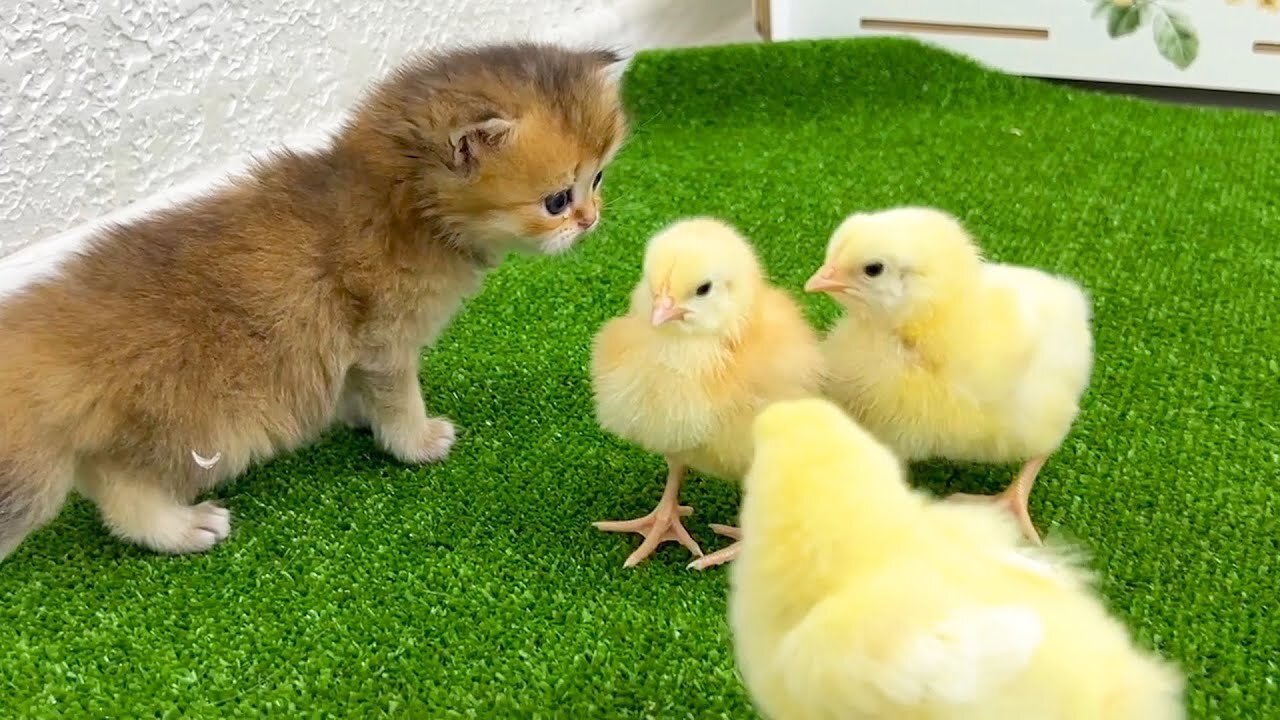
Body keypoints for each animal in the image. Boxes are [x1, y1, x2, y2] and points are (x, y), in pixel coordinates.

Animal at [0, 40, 629, 561]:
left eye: (598, 180)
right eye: (556, 200)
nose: (592, 220)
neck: (406, 211)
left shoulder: (351, 348)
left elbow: (353, 386)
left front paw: (355, 416)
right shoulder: (385, 340)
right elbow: (400, 398)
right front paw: (415, 442)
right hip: (197, 421)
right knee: (125, 489)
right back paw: (180, 529)